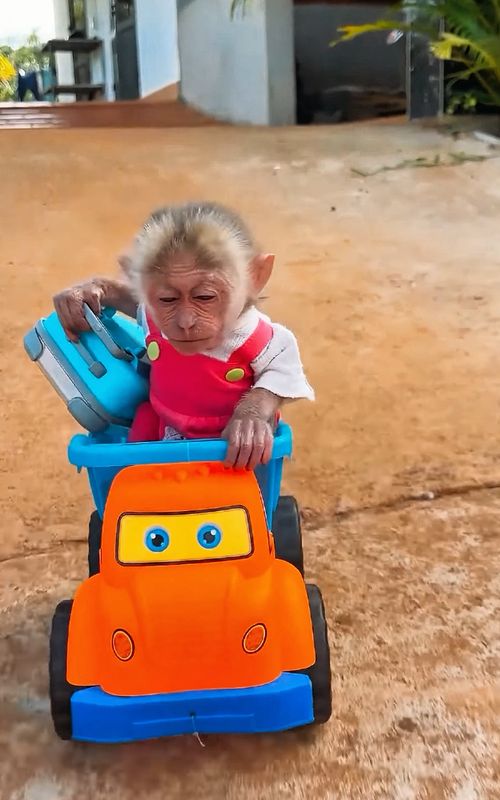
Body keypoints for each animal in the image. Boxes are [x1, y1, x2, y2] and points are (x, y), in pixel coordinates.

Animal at [54, 201, 314, 469]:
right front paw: (83, 294)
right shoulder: (149, 313)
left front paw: (250, 421)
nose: (186, 323)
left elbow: (279, 370)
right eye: (168, 299)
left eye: (205, 297)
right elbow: (138, 303)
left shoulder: (262, 333)